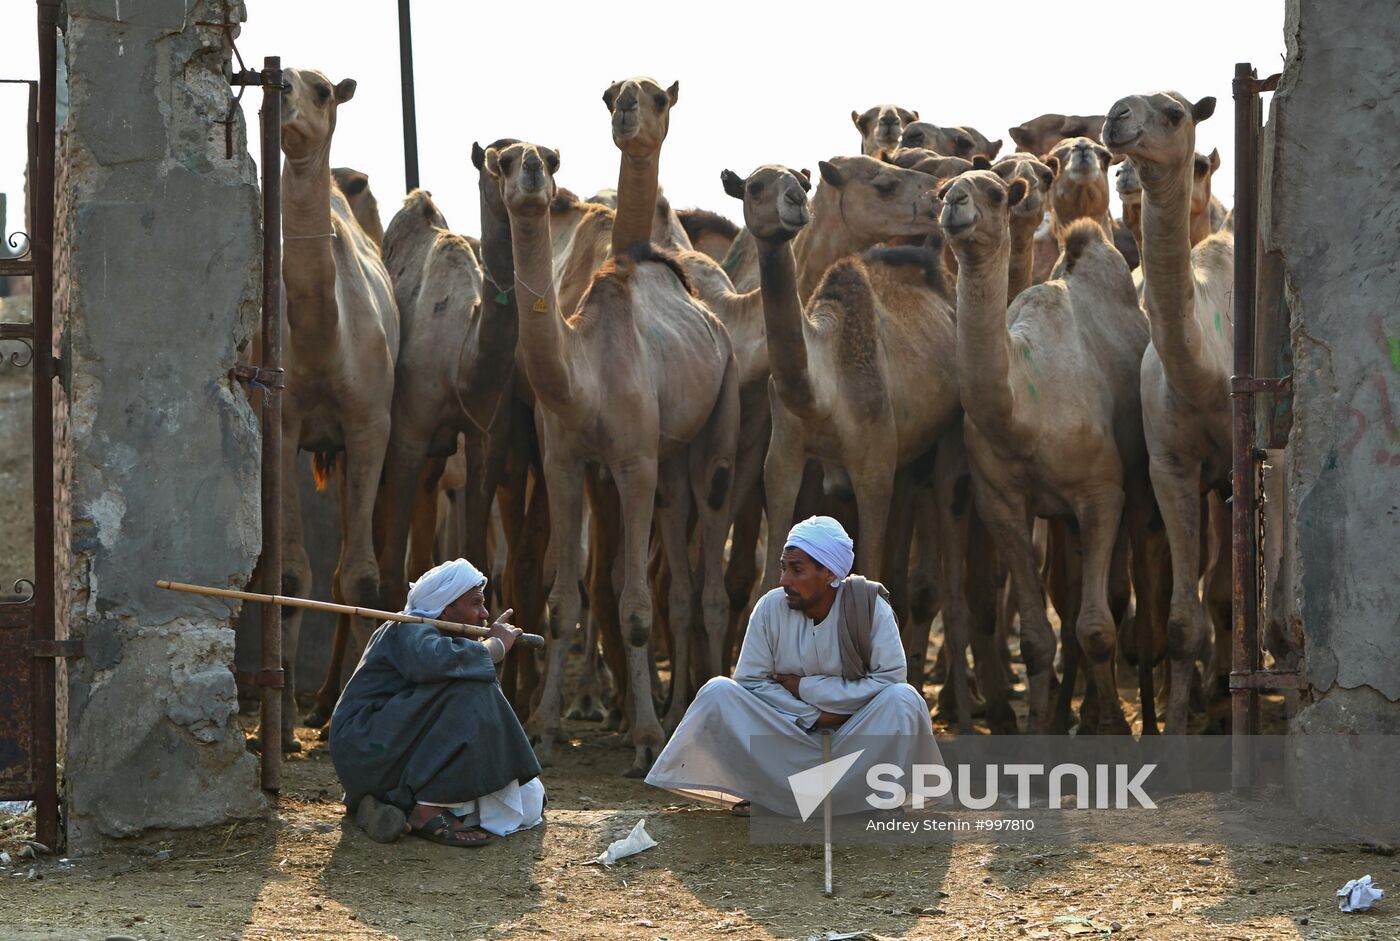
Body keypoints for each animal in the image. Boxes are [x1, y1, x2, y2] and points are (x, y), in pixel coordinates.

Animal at [487, 137, 739, 772]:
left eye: (549, 159)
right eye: (504, 162)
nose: (532, 171)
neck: (587, 375)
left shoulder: (632, 464)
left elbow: (635, 609)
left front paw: (646, 738)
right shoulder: (564, 462)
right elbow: (560, 604)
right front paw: (543, 729)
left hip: (720, 416)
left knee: (710, 518)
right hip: (668, 458)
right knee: (676, 537)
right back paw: (677, 711)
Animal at [935, 169, 1153, 733]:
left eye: (994, 192)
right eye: (944, 190)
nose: (954, 204)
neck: (1024, 414)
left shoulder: (1101, 493)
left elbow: (1097, 627)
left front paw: (1115, 727)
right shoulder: (1002, 503)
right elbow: (1037, 639)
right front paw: (1037, 729)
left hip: (1136, 484)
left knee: (1115, 595)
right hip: (1063, 519)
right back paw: (1068, 714)